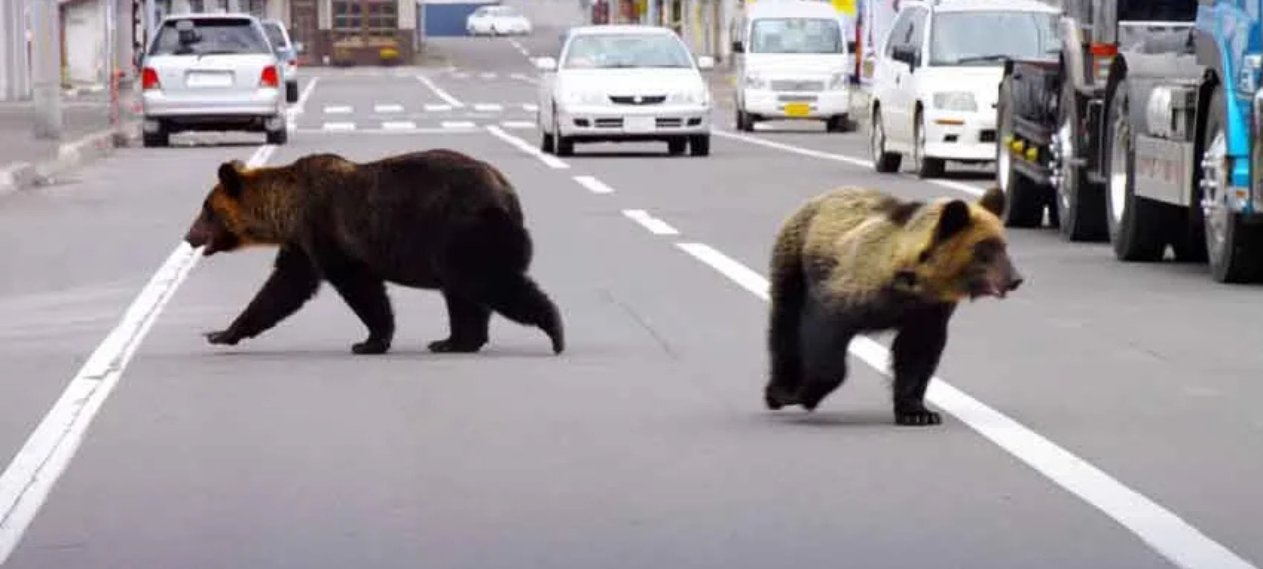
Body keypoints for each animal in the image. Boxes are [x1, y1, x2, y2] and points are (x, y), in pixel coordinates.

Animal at [182, 149, 565, 356]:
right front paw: (222, 332)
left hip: (462, 230)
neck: (287, 211)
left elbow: (359, 287)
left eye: (206, 210)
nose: (189, 236)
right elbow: (282, 289)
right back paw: (453, 340)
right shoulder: (303, 244)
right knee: (463, 292)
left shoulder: (327, 231)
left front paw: (369, 341)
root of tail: (507, 192)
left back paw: (554, 330)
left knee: (488, 282)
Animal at [763, 184, 1023, 426]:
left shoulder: (928, 311)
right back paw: (778, 390)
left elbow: (916, 353)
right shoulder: (851, 289)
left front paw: (918, 412)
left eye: (1004, 245)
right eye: (984, 248)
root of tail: (819, 198)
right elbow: (825, 333)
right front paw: (804, 394)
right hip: (794, 261)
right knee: (785, 322)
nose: (1015, 279)